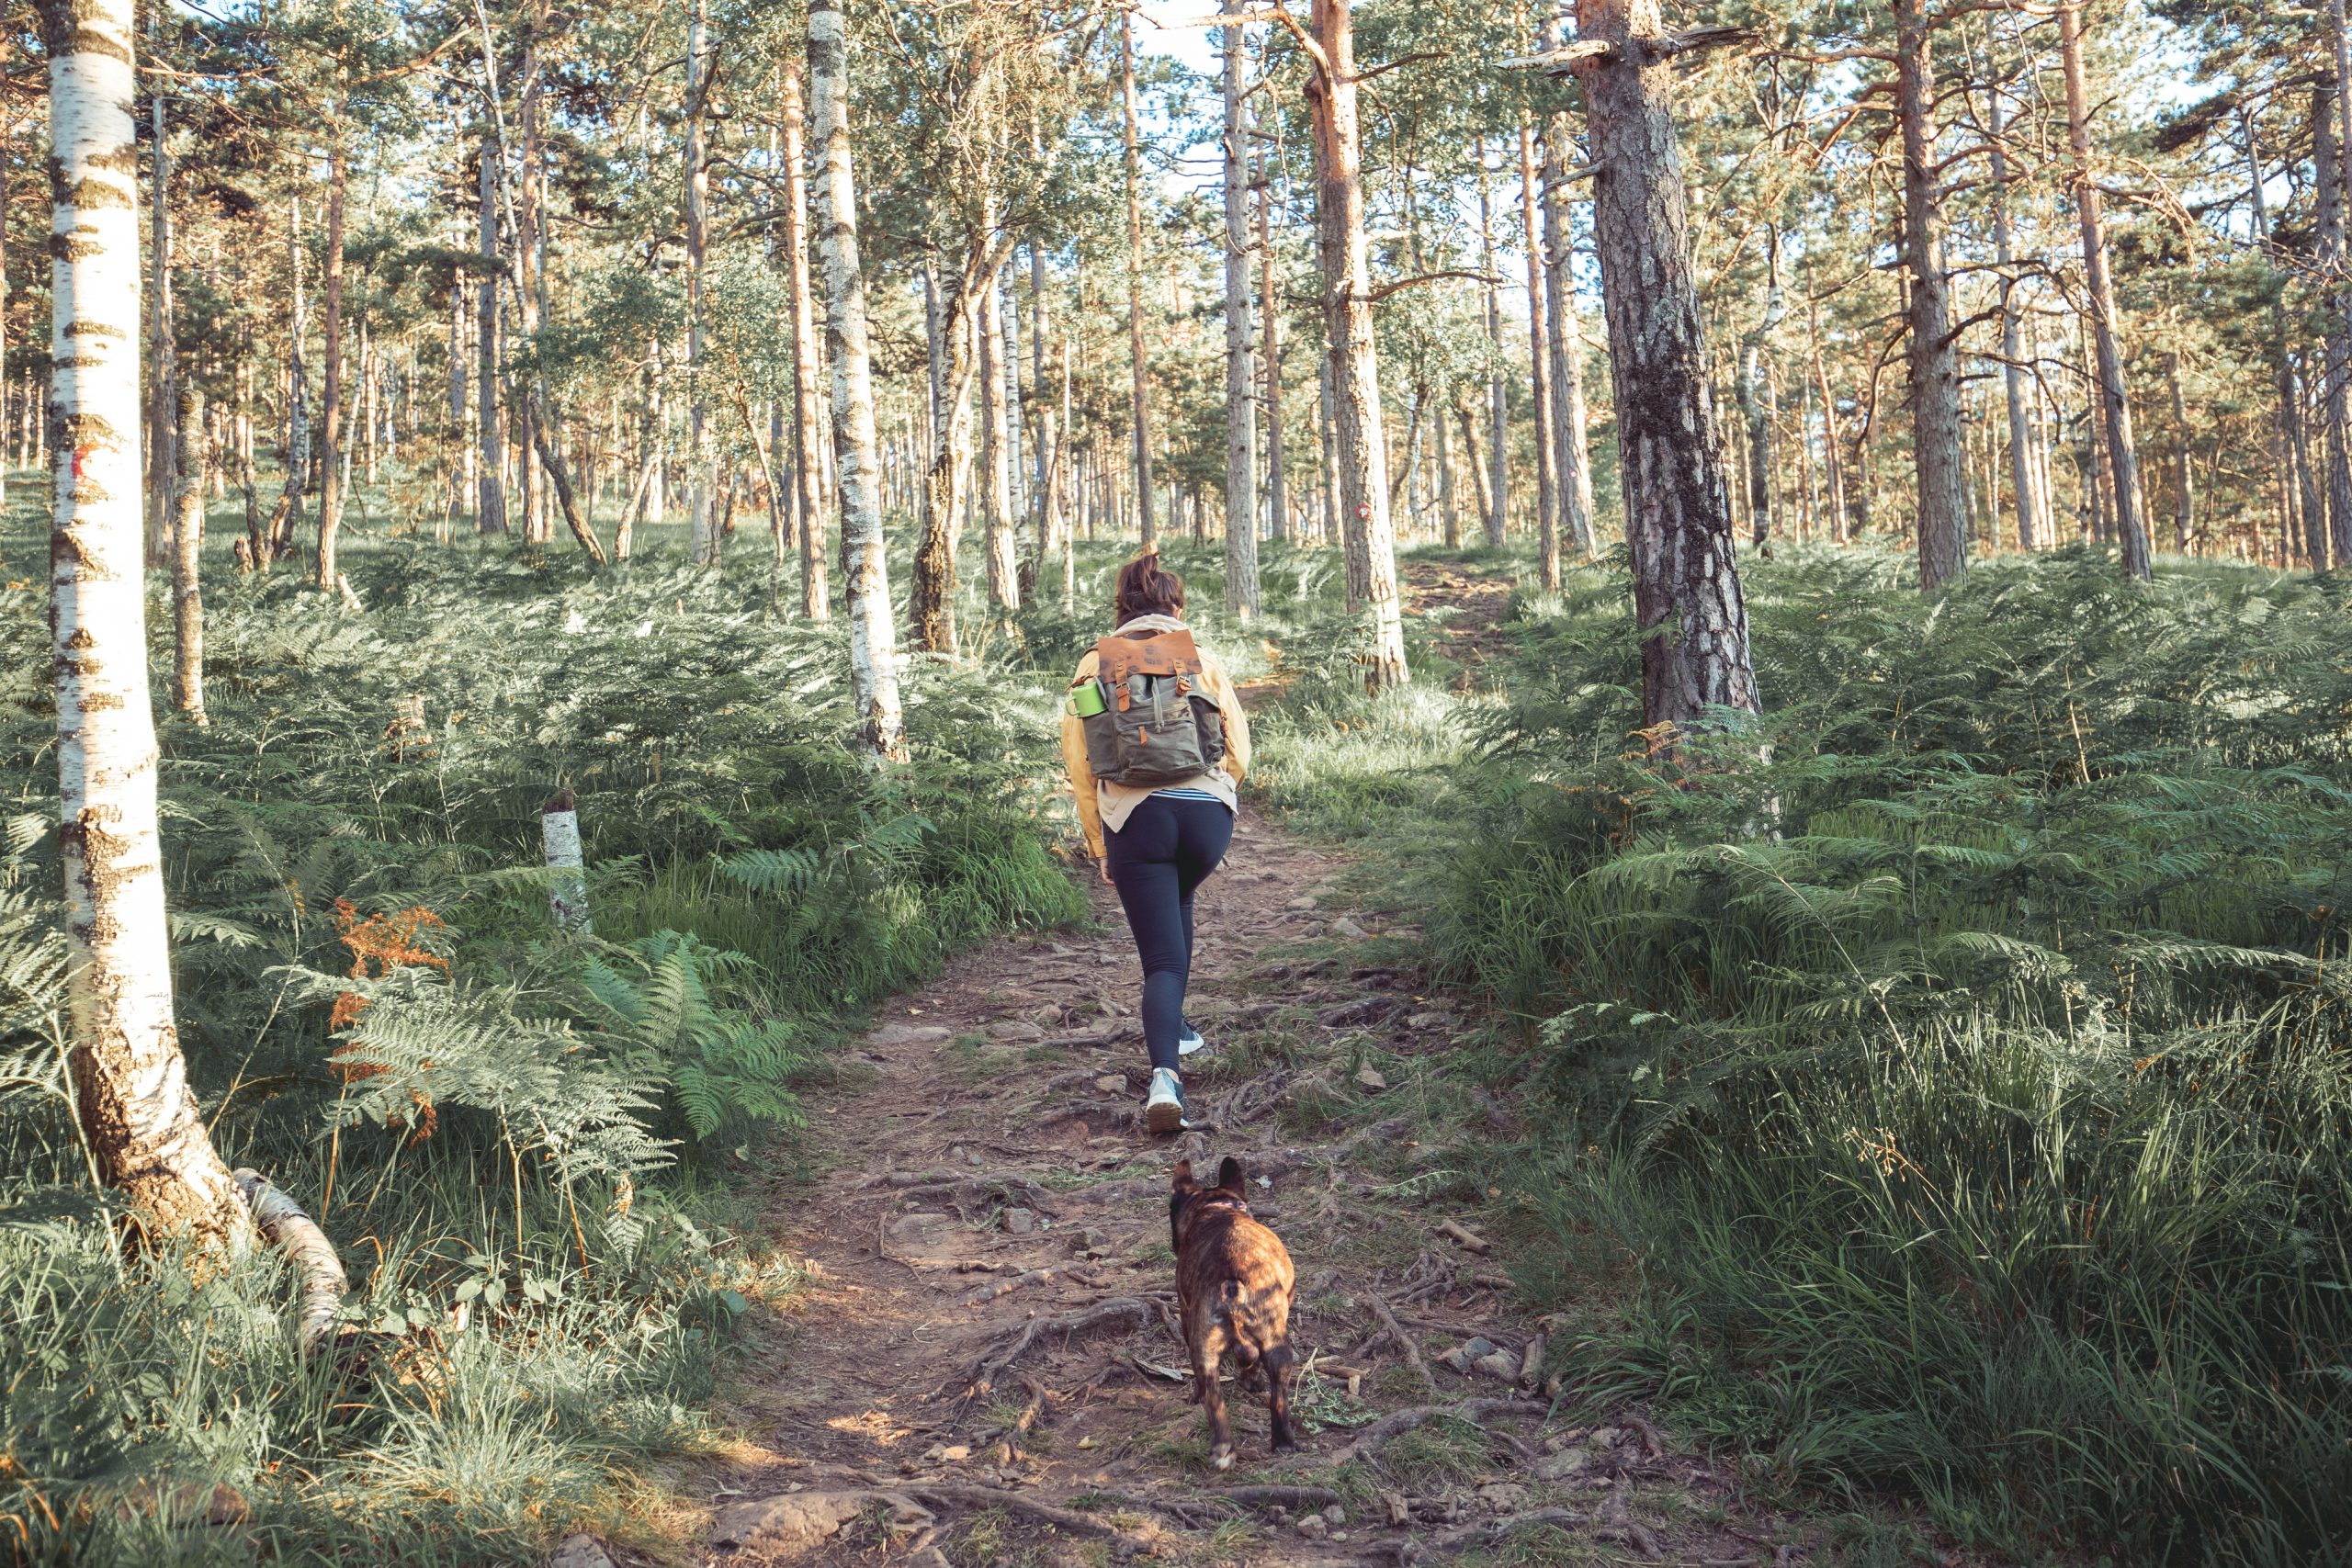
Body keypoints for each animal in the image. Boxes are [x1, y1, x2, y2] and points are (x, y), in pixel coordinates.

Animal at [1170, 1152, 1307, 1476]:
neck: (1217, 1206)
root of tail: (1232, 1282)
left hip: (1205, 1348)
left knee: (1213, 1397)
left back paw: (1223, 1447)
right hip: (1276, 1343)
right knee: (1276, 1395)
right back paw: (1282, 1441)